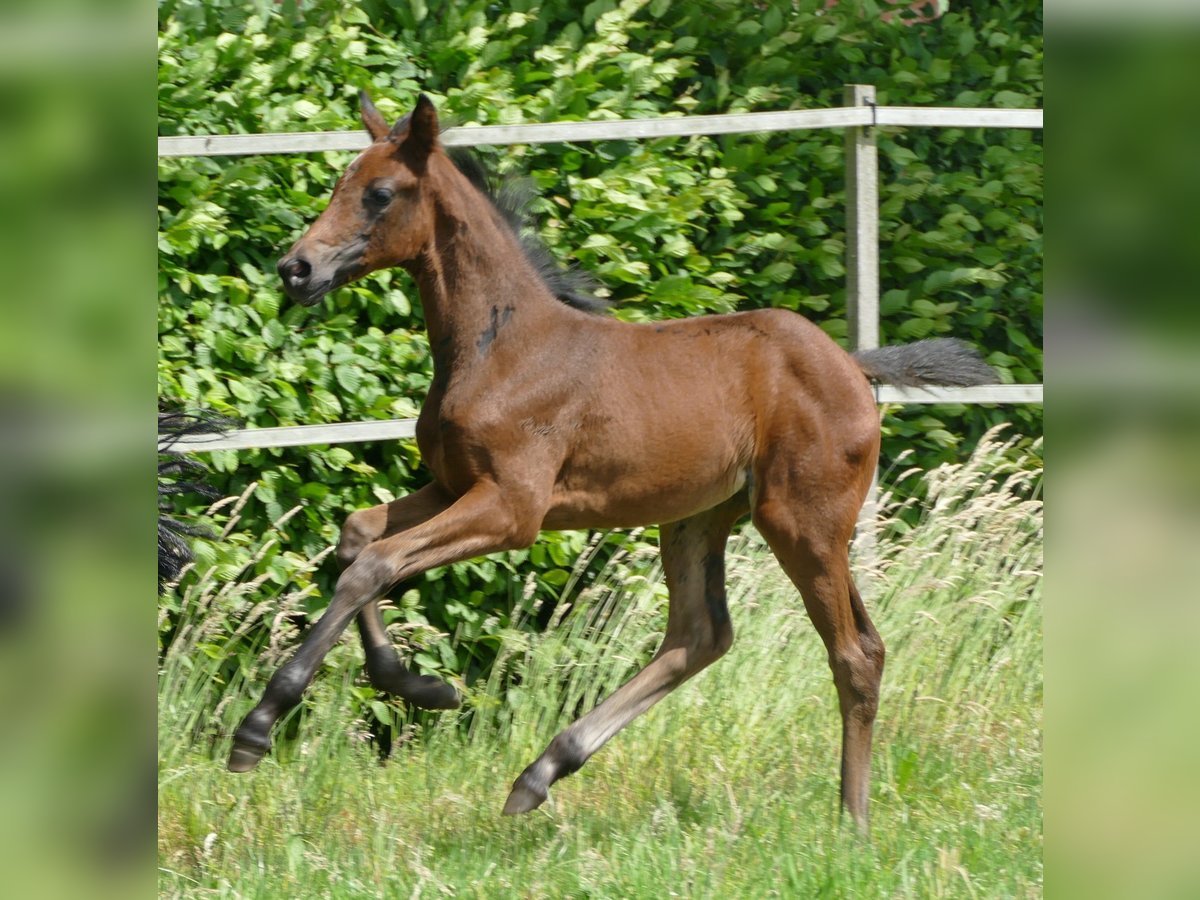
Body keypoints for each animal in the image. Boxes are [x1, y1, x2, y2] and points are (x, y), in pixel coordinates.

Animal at [226, 93, 993, 830]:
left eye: (380, 193)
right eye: (339, 184)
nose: (296, 269)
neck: (500, 346)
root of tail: (855, 370)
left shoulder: (513, 508)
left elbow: (375, 565)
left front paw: (259, 725)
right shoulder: (455, 486)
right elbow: (359, 537)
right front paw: (423, 686)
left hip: (801, 519)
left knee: (855, 652)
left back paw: (852, 823)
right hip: (697, 518)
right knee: (700, 635)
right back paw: (539, 774)